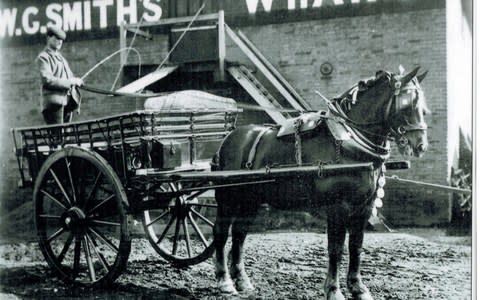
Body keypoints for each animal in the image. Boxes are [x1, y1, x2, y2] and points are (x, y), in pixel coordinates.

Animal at [212, 68, 430, 300]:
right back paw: (224, 281)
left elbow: (356, 247)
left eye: (423, 109)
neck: (348, 143)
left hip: (251, 201)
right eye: (406, 104)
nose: (421, 146)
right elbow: (335, 249)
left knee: (239, 234)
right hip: (228, 199)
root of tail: (229, 139)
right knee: (221, 233)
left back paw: (242, 281)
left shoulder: (363, 208)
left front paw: (358, 288)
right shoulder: (338, 207)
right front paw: (334, 290)